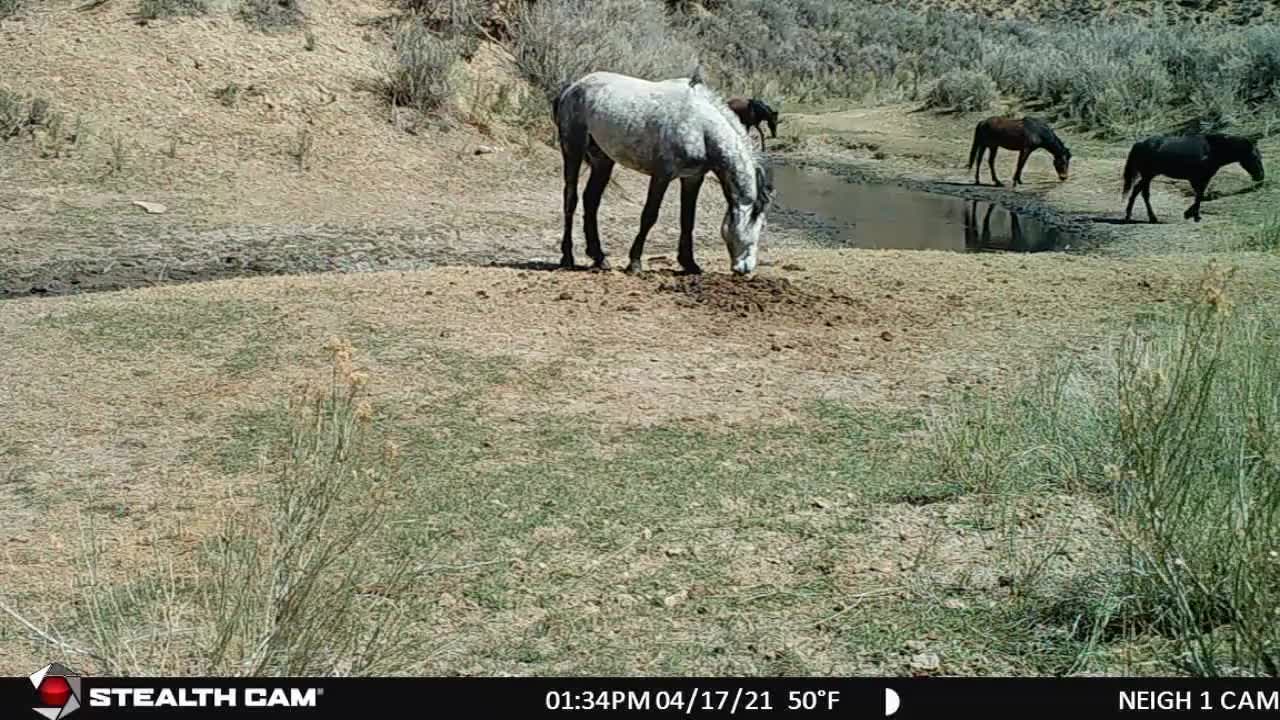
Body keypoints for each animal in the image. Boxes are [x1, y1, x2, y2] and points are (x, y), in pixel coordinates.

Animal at [555, 70, 773, 271]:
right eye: (758, 225)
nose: (746, 268)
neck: (700, 126)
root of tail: (572, 88)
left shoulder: (693, 178)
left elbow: (688, 219)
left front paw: (689, 263)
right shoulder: (662, 175)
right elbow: (649, 215)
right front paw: (635, 262)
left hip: (603, 161)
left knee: (591, 201)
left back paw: (599, 258)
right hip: (572, 151)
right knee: (571, 198)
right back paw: (567, 258)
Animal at [1121, 131, 1259, 221]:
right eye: (1255, 156)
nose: (1260, 176)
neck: (1211, 149)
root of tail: (1139, 144)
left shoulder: (1203, 179)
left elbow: (1200, 195)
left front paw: (1190, 214)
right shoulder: (1197, 179)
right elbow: (1199, 196)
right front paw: (1193, 215)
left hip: (1148, 176)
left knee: (1136, 190)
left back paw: (1129, 215)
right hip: (1148, 176)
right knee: (1144, 194)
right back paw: (1151, 217)